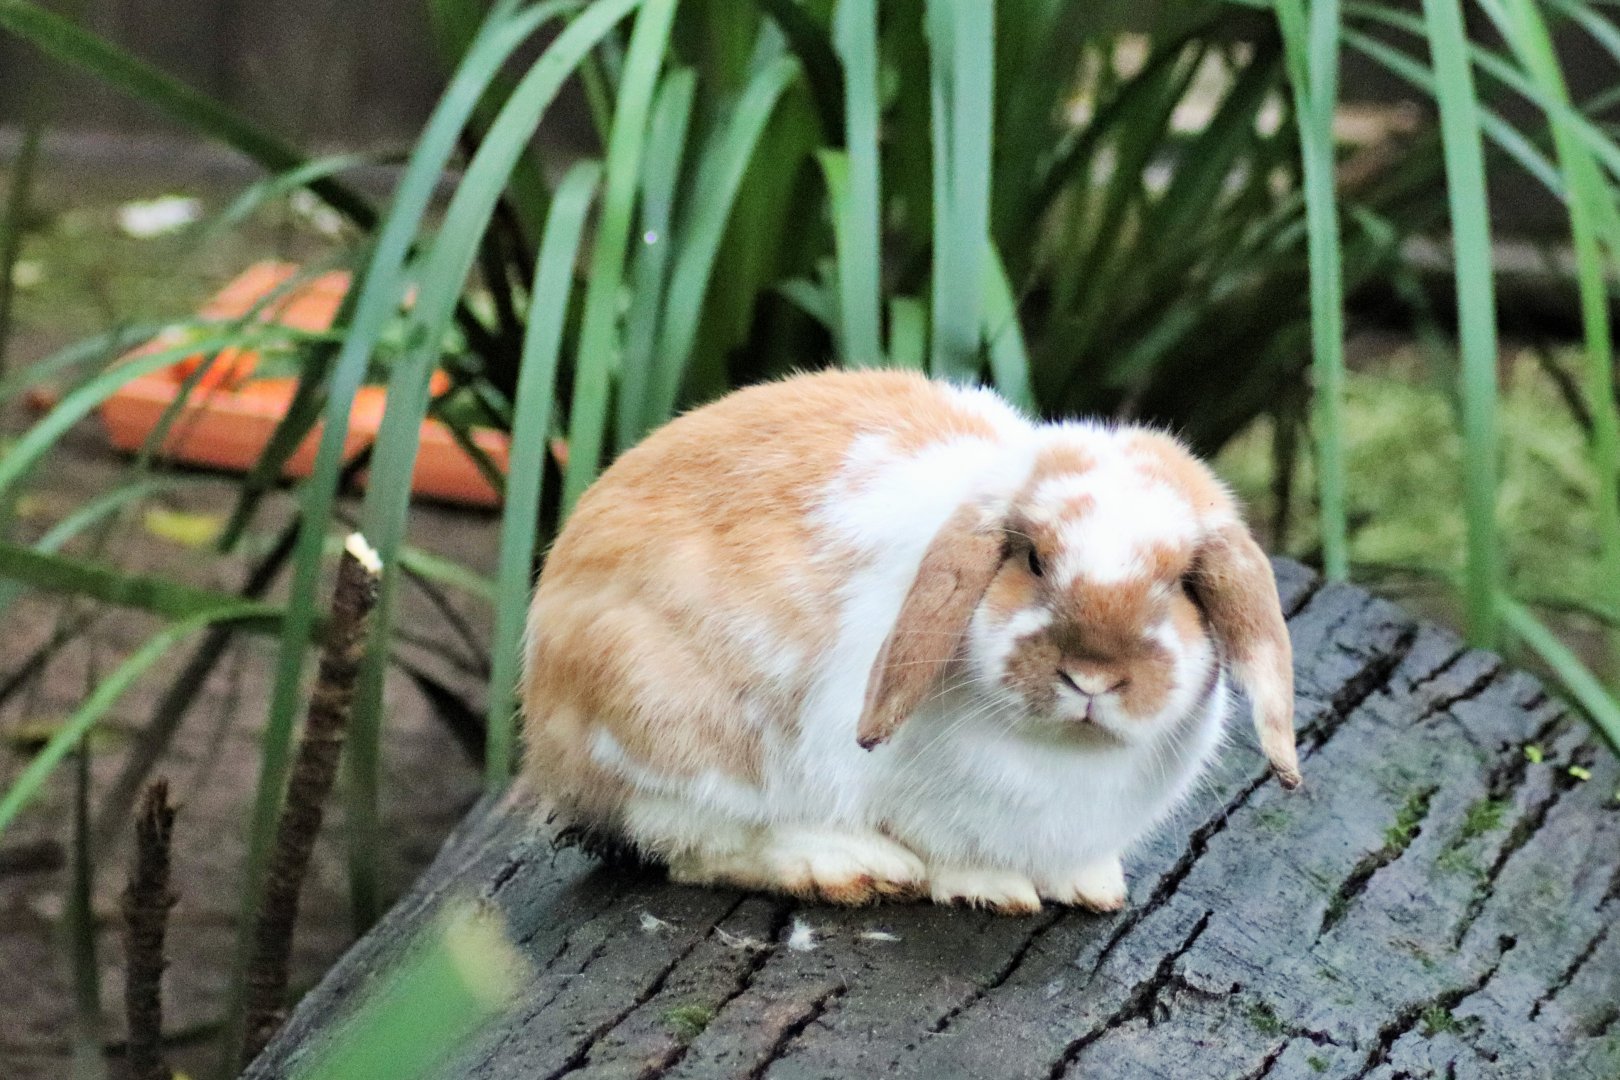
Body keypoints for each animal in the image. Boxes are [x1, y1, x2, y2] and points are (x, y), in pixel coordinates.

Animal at [521, 369, 1298, 914]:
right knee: (694, 842)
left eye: (1182, 583)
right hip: (666, 722)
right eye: (1033, 560)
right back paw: (849, 868)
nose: (1092, 677)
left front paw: (1091, 888)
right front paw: (995, 890)